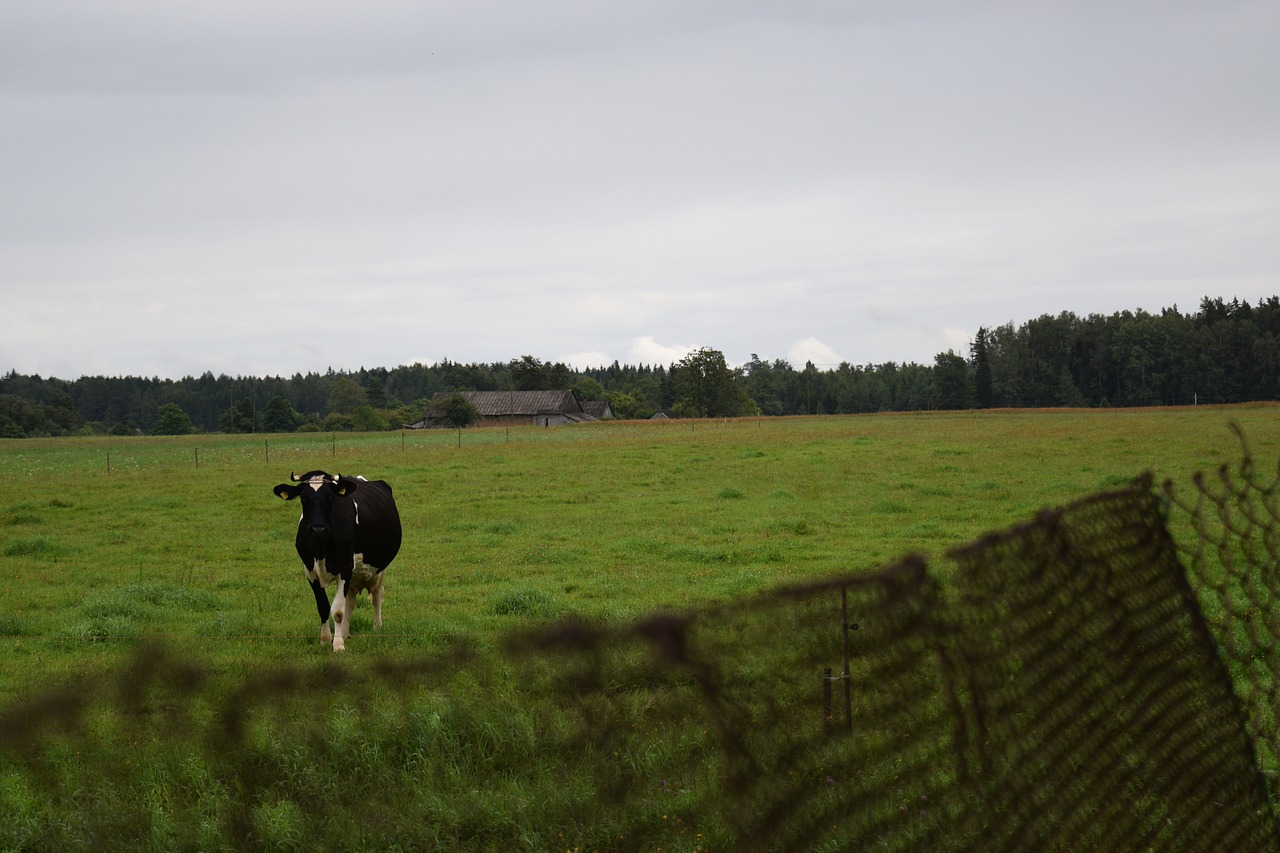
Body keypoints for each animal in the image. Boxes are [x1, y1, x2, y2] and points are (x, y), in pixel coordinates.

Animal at [273, 471, 402, 652]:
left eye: (330, 498)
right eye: (304, 498)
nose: (318, 529)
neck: (321, 550)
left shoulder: (345, 568)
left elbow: (338, 611)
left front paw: (338, 644)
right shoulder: (310, 571)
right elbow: (323, 606)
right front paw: (326, 639)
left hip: (379, 568)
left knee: (377, 595)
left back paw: (377, 627)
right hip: (355, 575)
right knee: (350, 601)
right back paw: (346, 632)